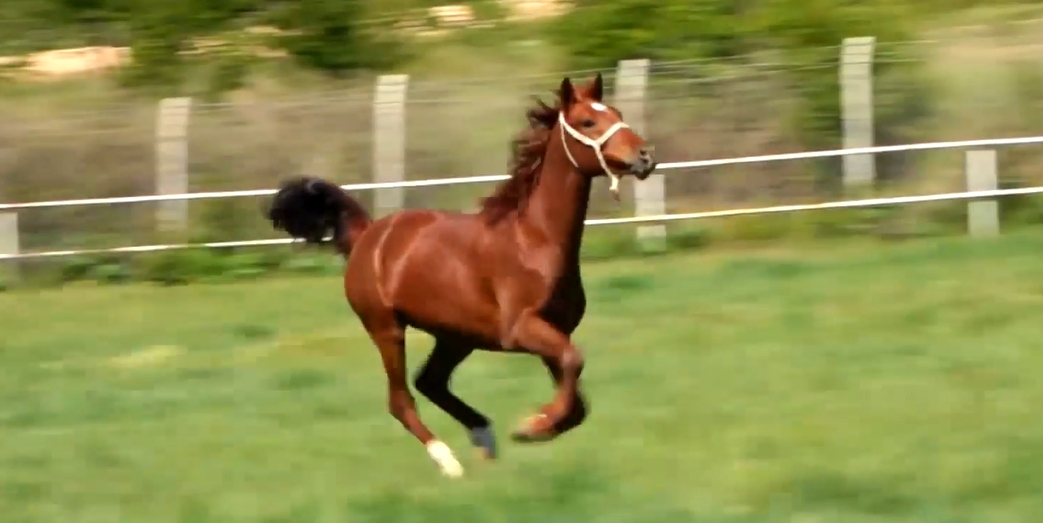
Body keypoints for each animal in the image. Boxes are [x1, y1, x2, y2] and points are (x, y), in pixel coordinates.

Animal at [269, 73, 659, 478]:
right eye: (587, 121)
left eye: (617, 113)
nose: (645, 155)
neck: (534, 240)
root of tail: (367, 234)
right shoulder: (521, 329)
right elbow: (573, 363)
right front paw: (530, 426)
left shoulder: (555, 331)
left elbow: (576, 398)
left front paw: (535, 426)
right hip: (387, 328)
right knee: (401, 400)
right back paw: (449, 462)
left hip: (455, 336)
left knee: (430, 381)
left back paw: (483, 438)